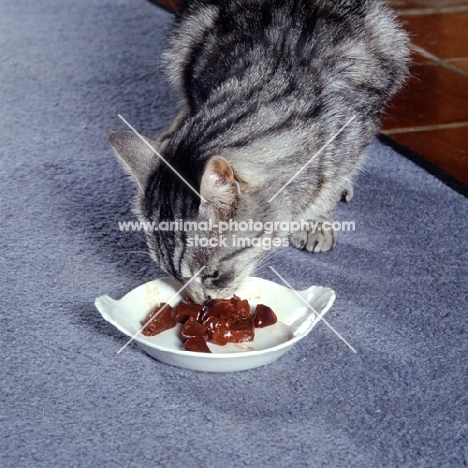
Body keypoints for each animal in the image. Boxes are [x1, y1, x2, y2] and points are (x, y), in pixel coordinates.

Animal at [108, 0, 408, 304]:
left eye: (212, 274)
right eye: (172, 275)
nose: (200, 303)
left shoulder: (359, 126)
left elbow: (332, 181)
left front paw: (316, 221)